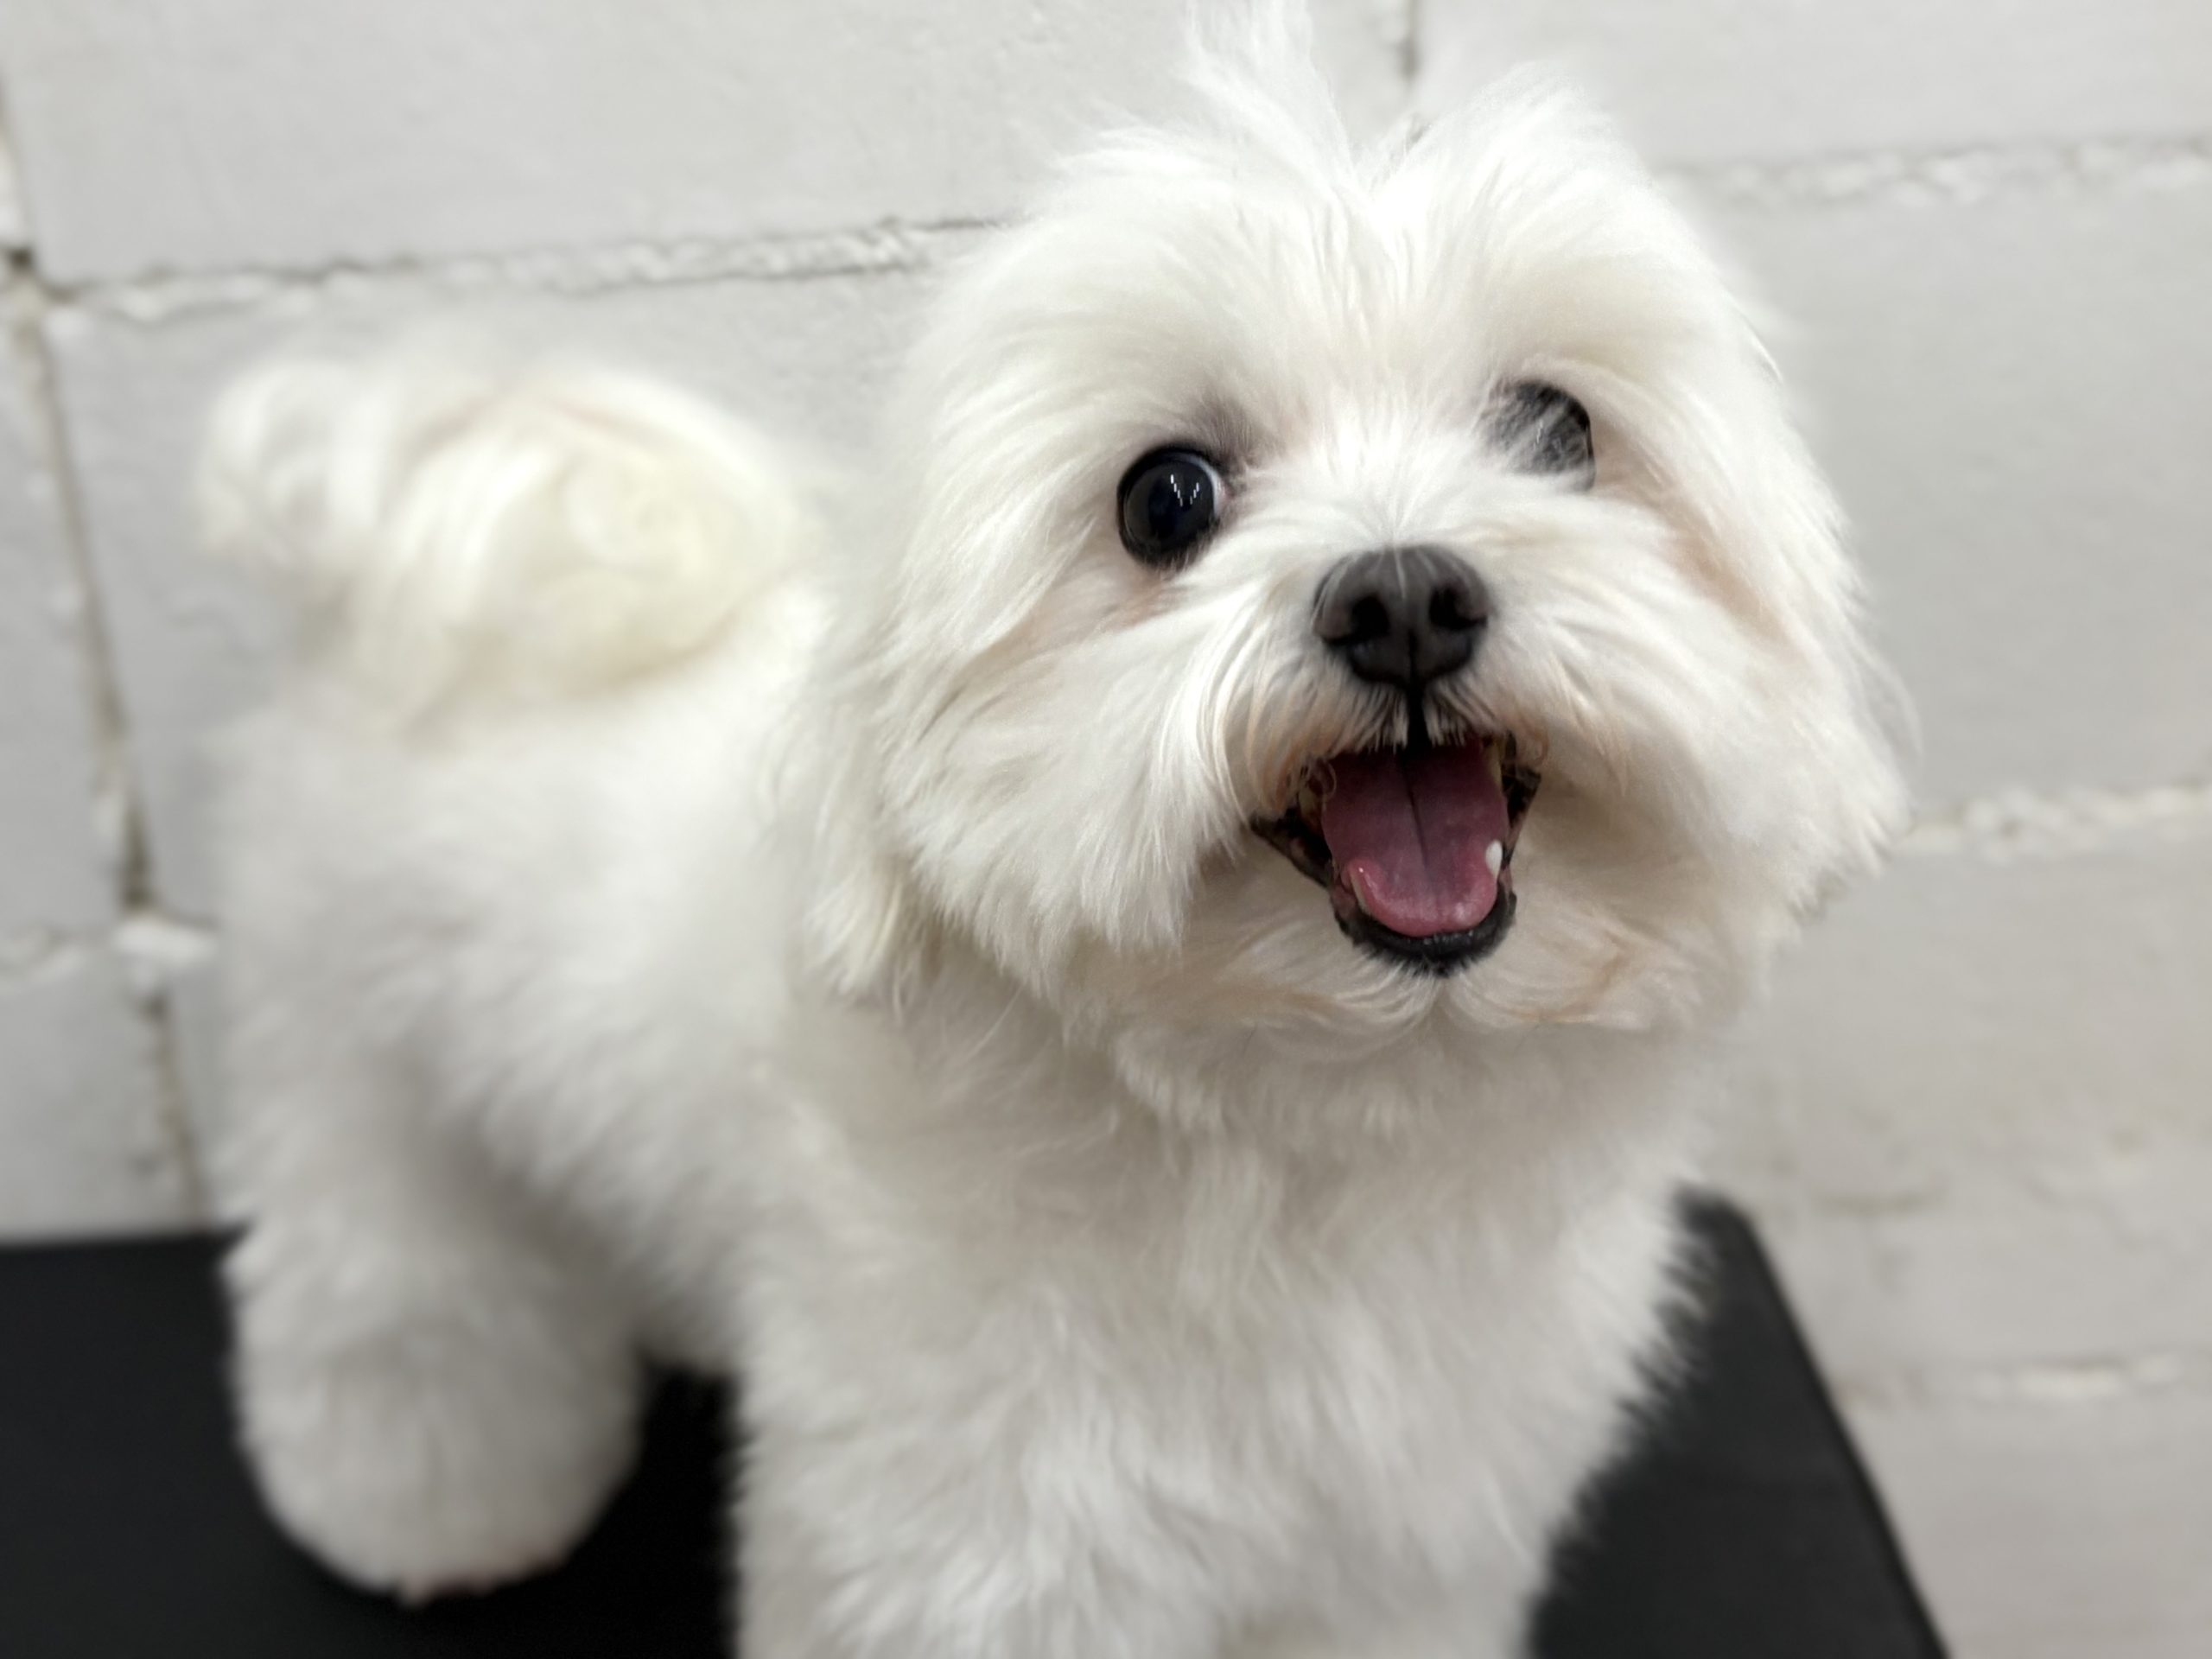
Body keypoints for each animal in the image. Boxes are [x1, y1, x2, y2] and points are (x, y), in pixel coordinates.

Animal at [200, 8, 1904, 1655]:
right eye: (1168, 500)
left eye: (1557, 432)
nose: (1405, 595)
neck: (1315, 1125)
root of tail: (435, 533)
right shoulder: (980, 1534)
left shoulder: (1393, 1533)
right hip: (363, 1074)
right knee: (402, 1298)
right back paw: (428, 1516)